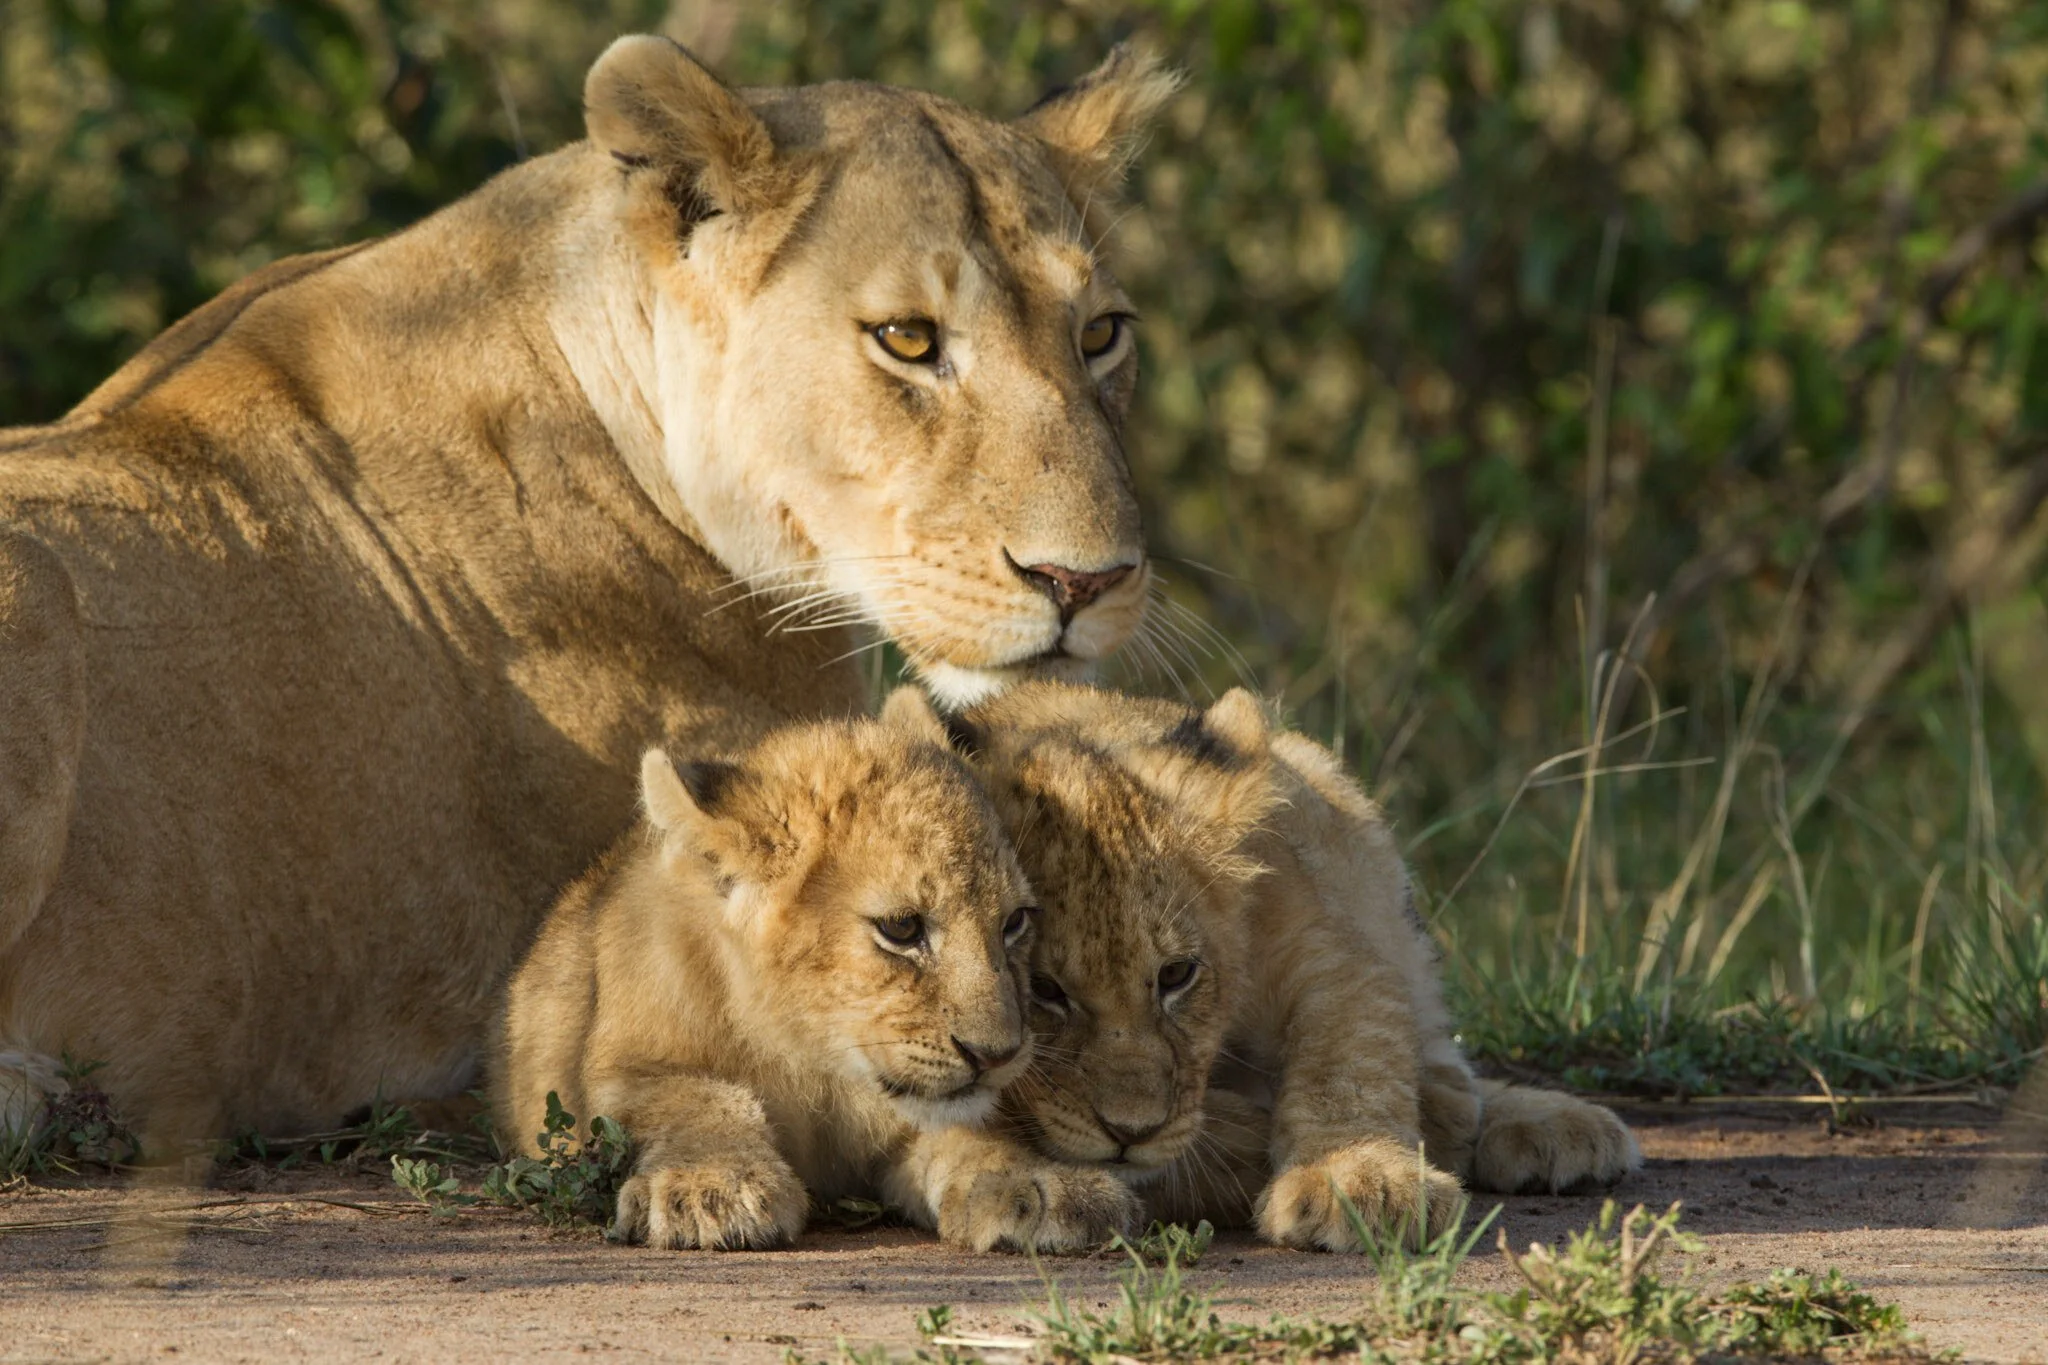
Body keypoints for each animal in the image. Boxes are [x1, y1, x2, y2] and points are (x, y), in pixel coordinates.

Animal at [492, 688, 1137, 1251]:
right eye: (901, 928)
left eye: (1015, 922)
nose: (998, 1056)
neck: (819, 1061)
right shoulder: (612, 1073)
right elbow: (696, 1096)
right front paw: (711, 1186)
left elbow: (968, 1132)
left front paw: (1044, 1185)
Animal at [952, 682, 1641, 1250]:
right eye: (1044, 988)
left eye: (1176, 975)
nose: (1131, 1132)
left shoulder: (1323, 941)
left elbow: (1350, 1061)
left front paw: (1361, 1181)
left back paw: (1528, 1119)